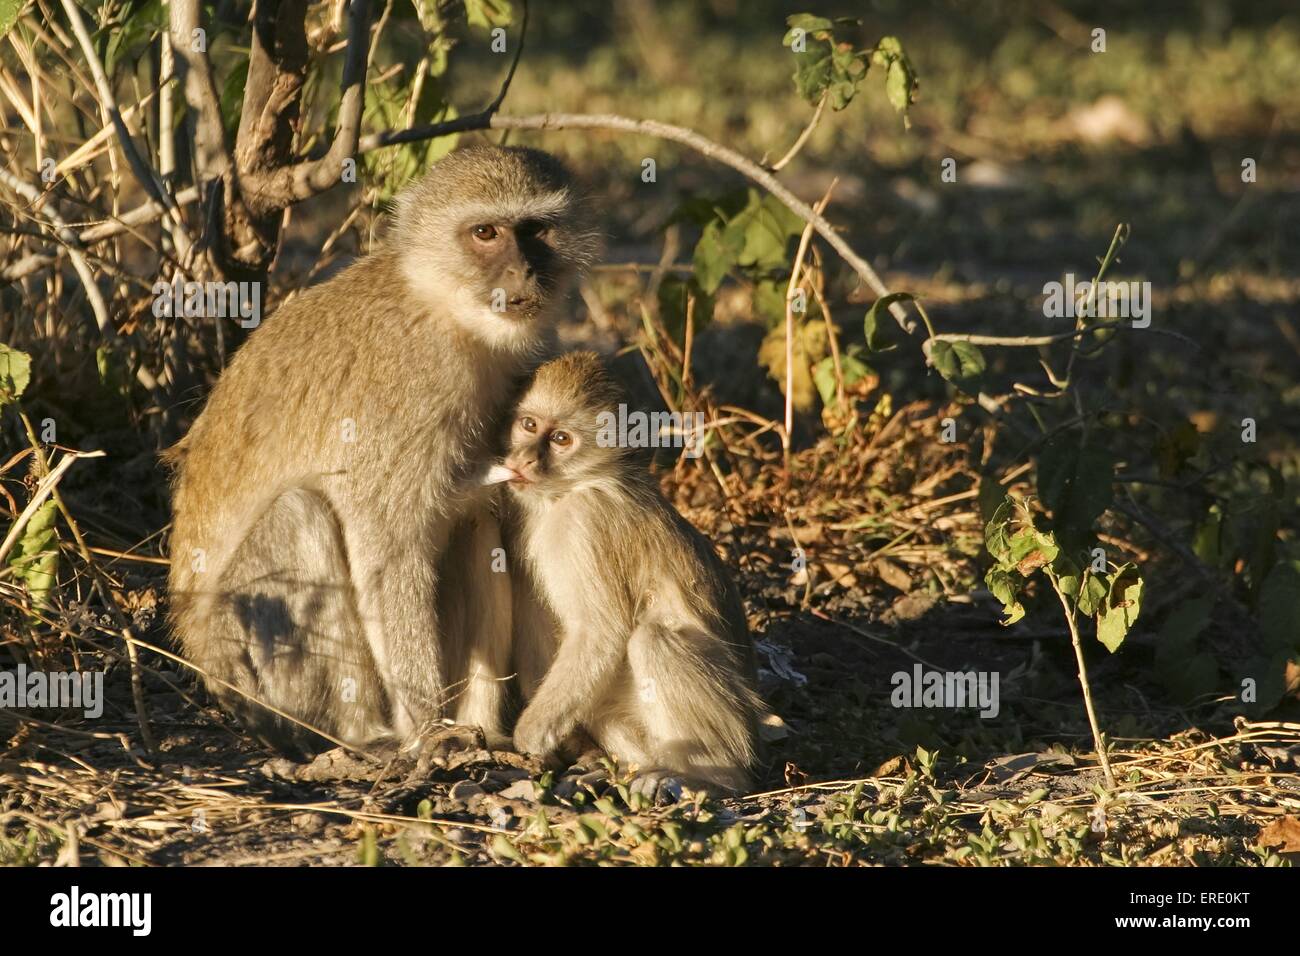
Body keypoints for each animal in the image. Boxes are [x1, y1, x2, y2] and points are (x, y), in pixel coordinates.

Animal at [163, 147, 603, 754]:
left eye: (536, 230)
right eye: (486, 233)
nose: (525, 272)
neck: (448, 312)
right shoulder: (408, 394)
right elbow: (386, 548)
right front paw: (427, 733)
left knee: (475, 525)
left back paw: (482, 729)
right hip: (244, 664)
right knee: (300, 512)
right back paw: (367, 737)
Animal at [486, 356, 764, 796]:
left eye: (561, 439)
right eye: (529, 425)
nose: (525, 458)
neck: (574, 487)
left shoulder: (586, 522)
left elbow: (601, 632)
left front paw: (531, 735)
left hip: (731, 720)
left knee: (651, 639)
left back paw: (712, 776)